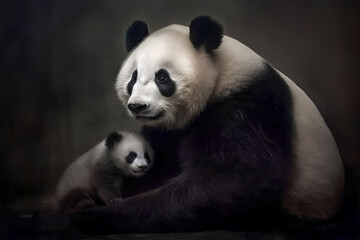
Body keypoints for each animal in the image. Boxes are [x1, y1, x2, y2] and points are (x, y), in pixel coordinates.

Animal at [72, 15, 344, 233]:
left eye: (162, 78)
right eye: (133, 77)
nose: (137, 106)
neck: (221, 75)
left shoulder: (248, 109)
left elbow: (232, 181)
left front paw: (92, 217)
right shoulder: (166, 131)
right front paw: (91, 200)